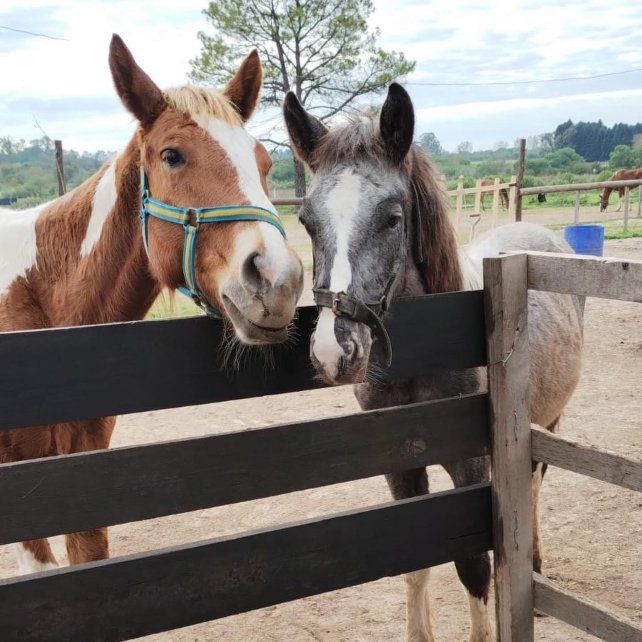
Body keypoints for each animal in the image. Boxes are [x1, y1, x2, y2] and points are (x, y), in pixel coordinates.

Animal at [283, 84, 583, 642]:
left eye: (392, 218)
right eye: (306, 221)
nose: (335, 352)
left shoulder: (473, 469)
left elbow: (473, 566)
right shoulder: (400, 468)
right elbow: (415, 559)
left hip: (548, 421)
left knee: (533, 482)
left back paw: (532, 564)